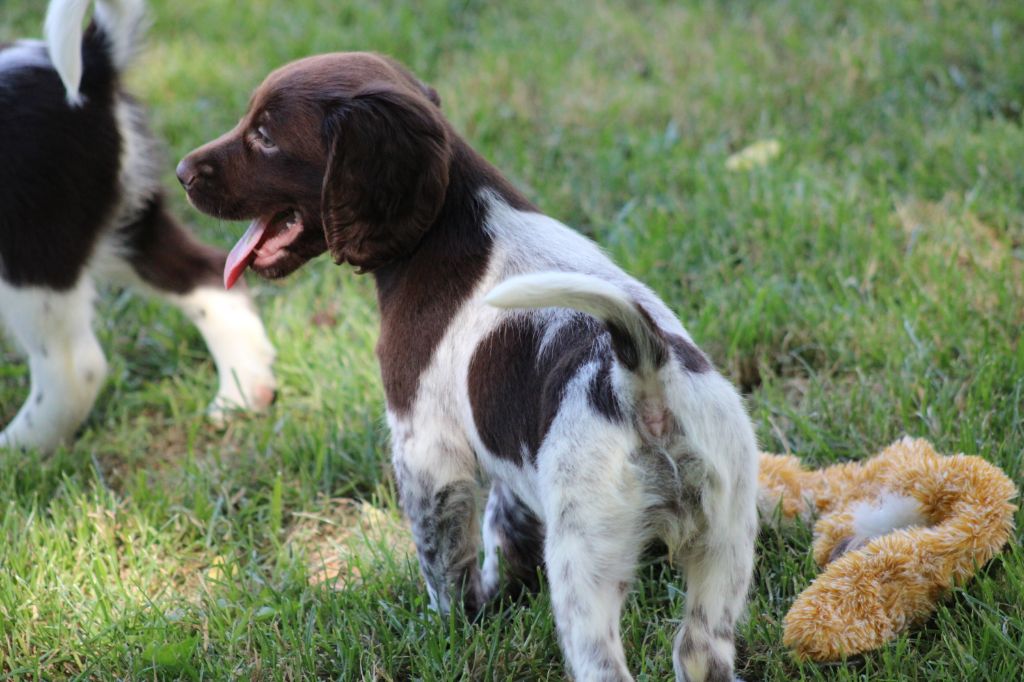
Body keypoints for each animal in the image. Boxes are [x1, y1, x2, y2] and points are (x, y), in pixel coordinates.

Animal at [0, 1, 276, 450]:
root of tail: (95, 60)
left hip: (31, 243)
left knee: (75, 367)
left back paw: (17, 451)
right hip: (117, 220)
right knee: (206, 273)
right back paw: (243, 391)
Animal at [178, 53, 761, 679]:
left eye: (264, 135)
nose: (181, 171)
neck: (451, 220)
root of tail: (642, 376)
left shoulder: (425, 450)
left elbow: (443, 560)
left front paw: (452, 625)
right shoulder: (509, 455)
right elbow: (505, 523)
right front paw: (501, 593)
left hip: (588, 561)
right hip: (725, 544)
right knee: (699, 651)